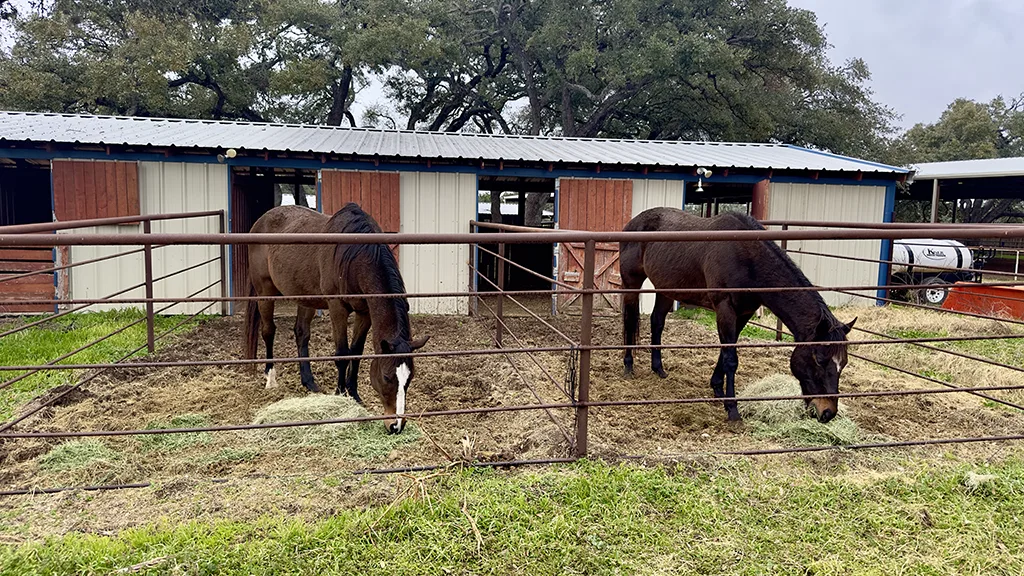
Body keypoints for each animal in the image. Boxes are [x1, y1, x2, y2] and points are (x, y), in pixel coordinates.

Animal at [242, 203, 430, 434]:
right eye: (386, 377)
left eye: (409, 378)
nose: (396, 425)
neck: (356, 255)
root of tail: (261, 221)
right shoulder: (337, 308)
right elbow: (342, 354)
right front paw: (341, 393)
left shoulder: (365, 313)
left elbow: (355, 353)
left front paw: (354, 395)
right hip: (264, 291)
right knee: (268, 332)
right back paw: (270, 378)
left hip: (305, 297)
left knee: (301, 334)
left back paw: (309, 382)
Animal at [620, 207, 855, 424]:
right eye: (819, 360)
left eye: (842, 364)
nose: (828, 412)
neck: (747, 258)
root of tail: (633, 223)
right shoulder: (725, 309)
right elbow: (731, 359)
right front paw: (732, 409)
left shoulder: (743, 313)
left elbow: (726, 352)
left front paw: (718, 389)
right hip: (632, 283)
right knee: (630, 321)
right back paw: (628, 365)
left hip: (667, 289)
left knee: (657, 323)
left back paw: (658, 368)